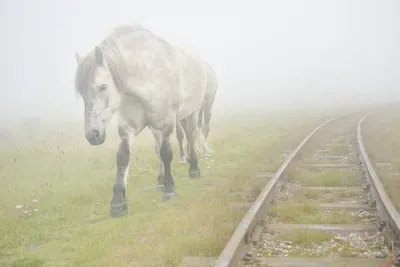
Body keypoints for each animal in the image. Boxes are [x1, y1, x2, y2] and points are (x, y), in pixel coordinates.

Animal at [76, 24, 212, 218]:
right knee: (158, 147)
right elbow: (123, 157)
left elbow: (166, 153)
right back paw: (161, 180)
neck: (148, 76)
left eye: (103, 86)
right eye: (81, 92)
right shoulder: (128, 128)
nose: (92, 135)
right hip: (154, 128)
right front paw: (118, 203)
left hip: (192, 113)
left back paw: (193, 168)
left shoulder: (167, 123)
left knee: (190, 137)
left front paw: (169, 190)